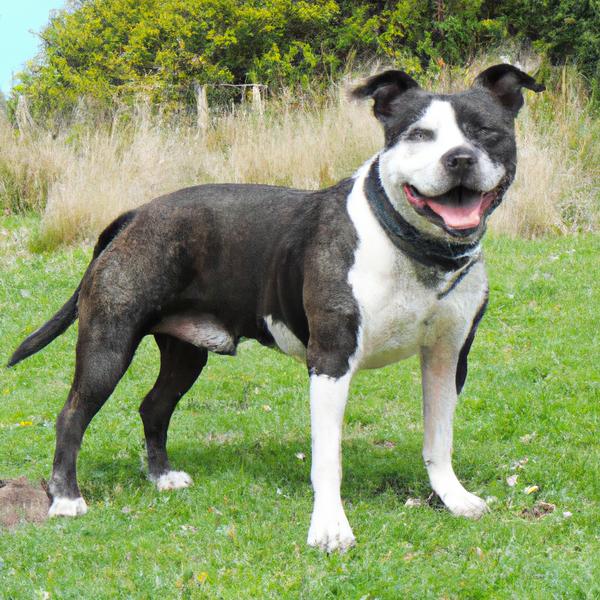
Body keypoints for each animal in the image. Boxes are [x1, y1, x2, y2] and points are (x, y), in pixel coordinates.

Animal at [8, 63, 544, 552]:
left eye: (486, 132)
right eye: (419, 135)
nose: (460, 158)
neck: (415, 248)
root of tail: (136, 213)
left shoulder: (447, 357)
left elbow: (439, 438)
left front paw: (451, 497)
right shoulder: (331, 359)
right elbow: (327, 458)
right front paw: (330, 528)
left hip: (185, 352)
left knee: (154, 405)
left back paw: (162, 476)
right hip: (108, 345)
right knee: (72, 413)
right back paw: (66, 499)